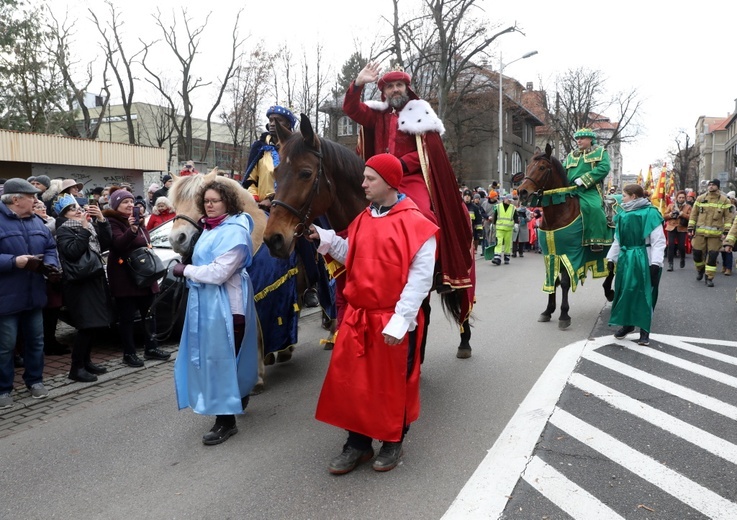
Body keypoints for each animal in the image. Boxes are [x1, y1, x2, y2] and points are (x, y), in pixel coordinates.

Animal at [516, 144, 612, 328]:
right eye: (528, 166)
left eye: (542, 167)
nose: (522, 192)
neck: (558, 214)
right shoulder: (550, 254)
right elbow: (553, 281)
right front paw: (548, 311)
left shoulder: (570, 253)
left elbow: (566, 283)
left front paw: (564, 315)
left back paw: (610, 292)